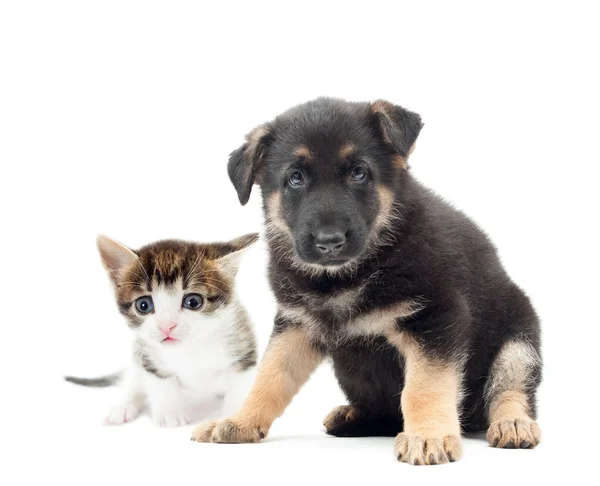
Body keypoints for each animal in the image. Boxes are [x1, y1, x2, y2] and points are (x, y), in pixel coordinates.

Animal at [65, 234, 258, 428]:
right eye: (143, 305)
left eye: (193, 302)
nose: (167, 326)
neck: (190, 349)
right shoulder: (148, 357)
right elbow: (161, 381)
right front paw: (170, 413)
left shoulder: (244, 347)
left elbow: (240, 384)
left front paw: (237, 417)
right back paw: (124, 405)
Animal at [192, 97, 544, 466]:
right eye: (295, 178)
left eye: (359, 172)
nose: (329, 242)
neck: (347, 275)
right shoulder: (296, 325)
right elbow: (270, 377)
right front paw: (239, 421)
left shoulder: (434, 320)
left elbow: (423, 387)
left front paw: (427, 436)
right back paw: (352, 416)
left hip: (519, 342)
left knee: (508, 390)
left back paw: (513, 423)